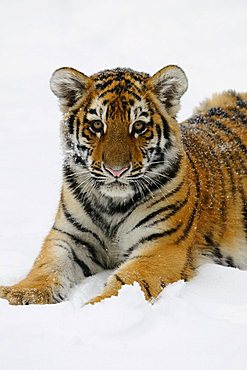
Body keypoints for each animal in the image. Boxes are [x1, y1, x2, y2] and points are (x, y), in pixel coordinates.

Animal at [0, 64, 246, 306]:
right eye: (96, 125)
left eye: (139, 126)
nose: (116, 170)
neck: (112, 204)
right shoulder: (70, 237)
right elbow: (47, 266)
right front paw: (21, 294)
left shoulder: (160, 246)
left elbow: (126, 282)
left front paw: (97, 308)